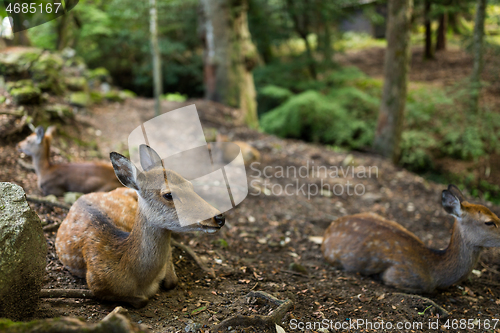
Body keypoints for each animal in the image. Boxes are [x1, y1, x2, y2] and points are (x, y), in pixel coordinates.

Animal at [55, 144, 226, 308]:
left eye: (190, 185)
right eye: (168, 194)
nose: (219, 217)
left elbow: (172, 281)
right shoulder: (96, 284)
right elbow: (142, 300)